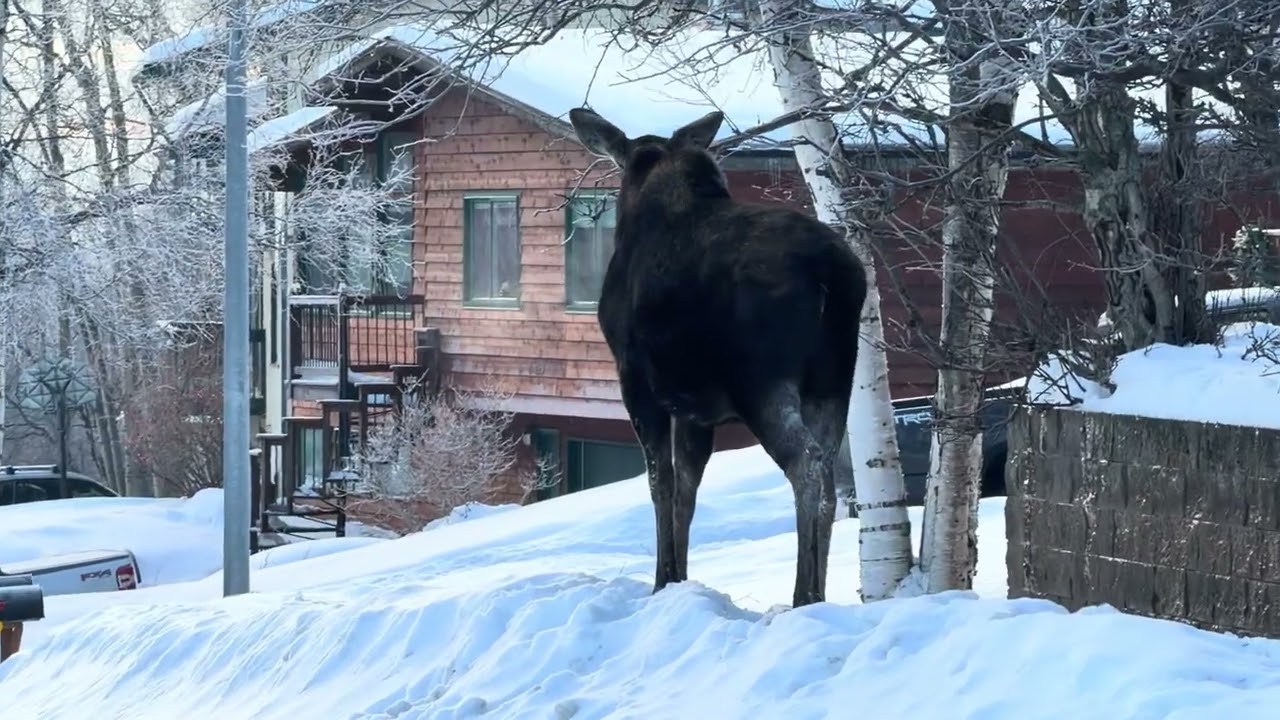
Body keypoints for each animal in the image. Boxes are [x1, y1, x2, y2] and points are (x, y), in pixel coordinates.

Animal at [568, 107, 868, 608]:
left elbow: (661, 483)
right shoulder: (695, 409)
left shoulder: (638, 385)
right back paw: (819, 592)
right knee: (829, 473)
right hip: (834, 380)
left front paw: (662, 580)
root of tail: (835, 274)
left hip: (760, 382)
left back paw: (803, 594)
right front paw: (680, 579)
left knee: (806, 464)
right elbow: (688, 490)